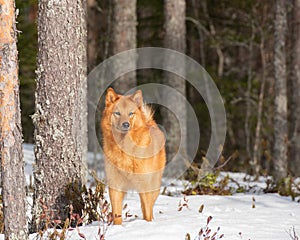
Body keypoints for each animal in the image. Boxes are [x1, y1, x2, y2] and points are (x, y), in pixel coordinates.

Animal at [101, 88, 166, 225]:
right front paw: (117, 227)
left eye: (131, 113)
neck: (124, 148)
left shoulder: (145, 186)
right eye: (117, 113)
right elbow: (117, 215)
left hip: (154, 185)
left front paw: (148, 224)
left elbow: (147, 211)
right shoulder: (115, 186)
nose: (126, 124)